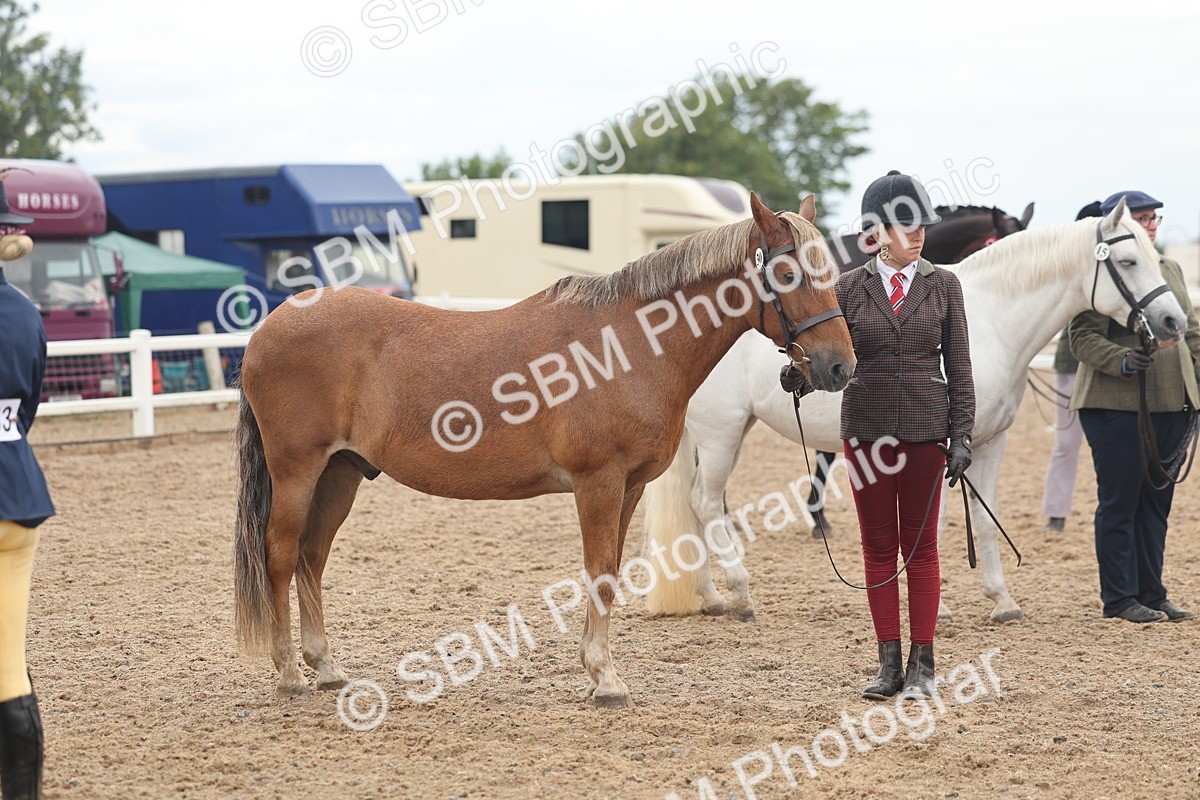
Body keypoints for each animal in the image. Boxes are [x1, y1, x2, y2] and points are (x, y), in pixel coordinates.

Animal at [232, 193, 856, 708]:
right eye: (789, 270)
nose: (839, 366)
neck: (627, 345)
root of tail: (269, 327)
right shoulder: (597, 481)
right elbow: (599, 571)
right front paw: (605, 678)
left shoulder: (629, 487)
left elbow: (610, 571)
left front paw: (598, 671)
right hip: (298, 470)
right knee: (281, 554)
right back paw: (289, 674)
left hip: (340, 473)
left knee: (312, 556)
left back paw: (326, 668)